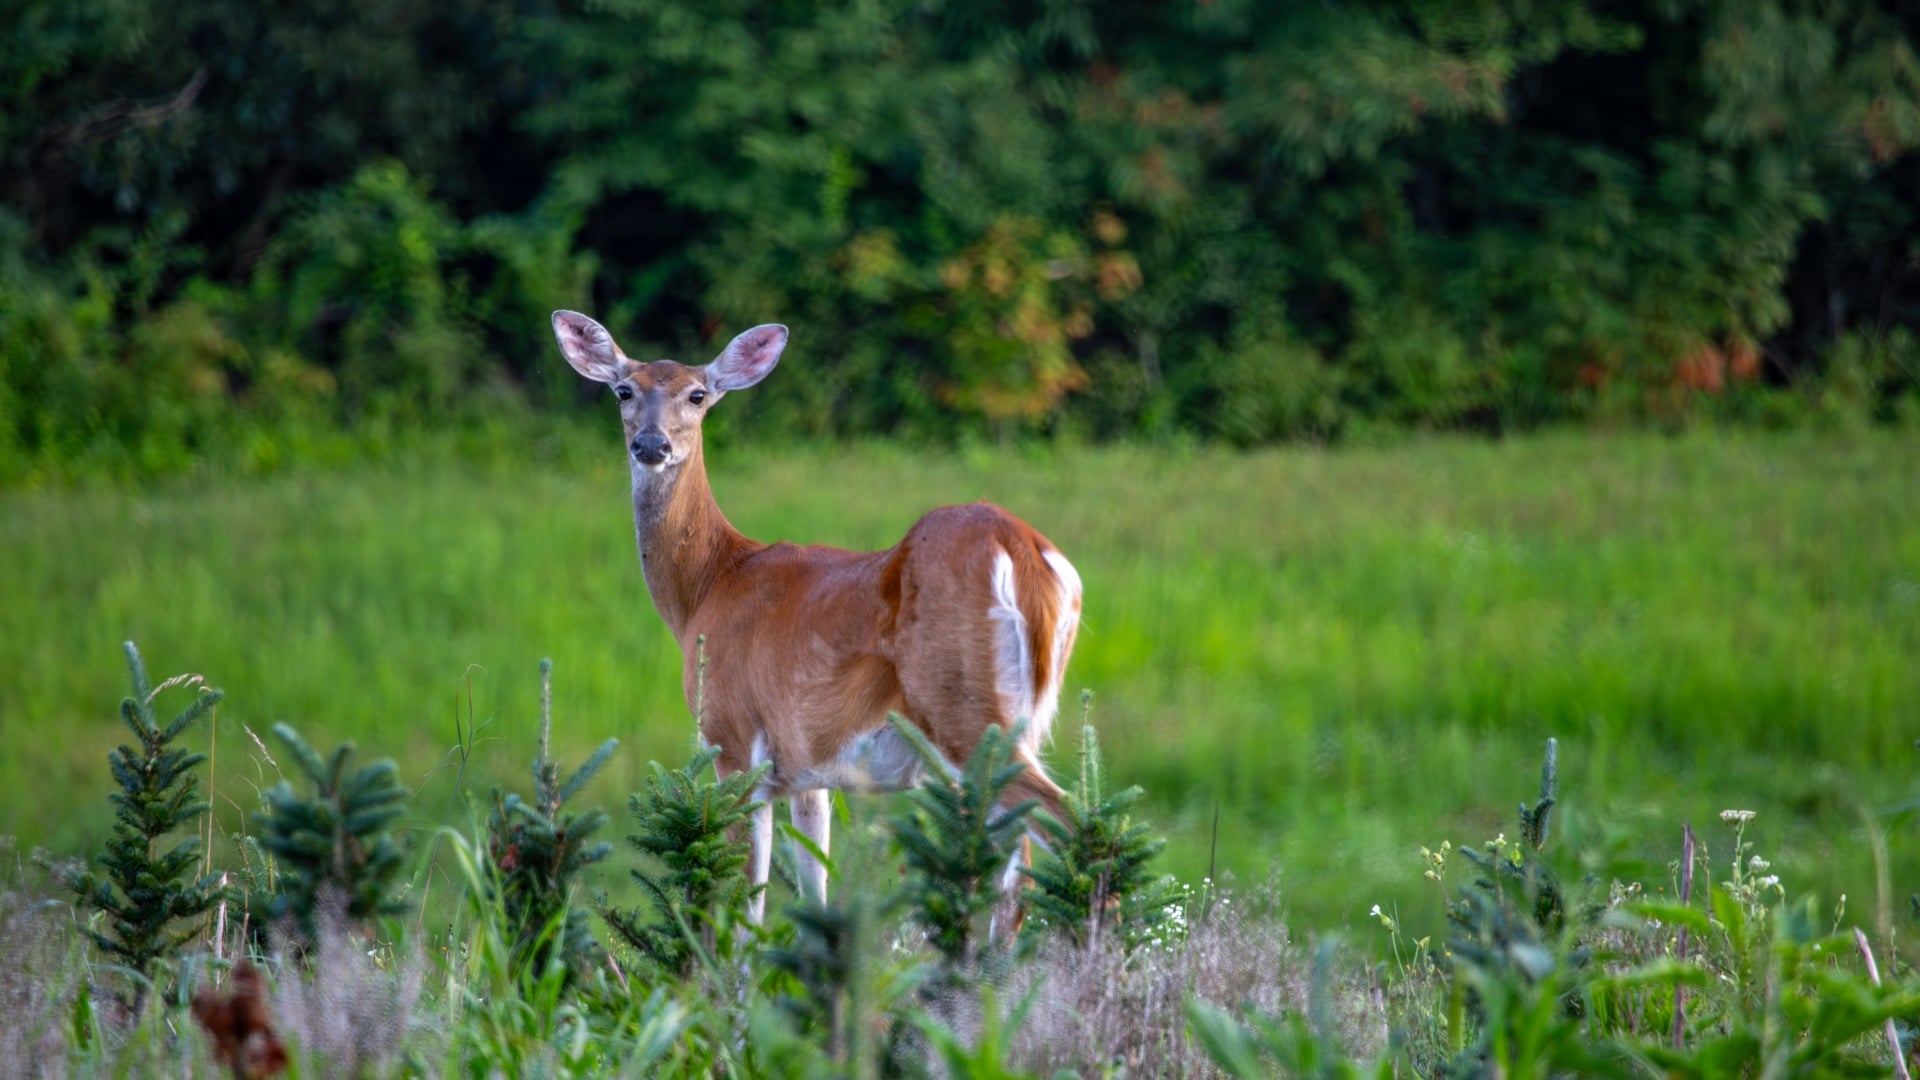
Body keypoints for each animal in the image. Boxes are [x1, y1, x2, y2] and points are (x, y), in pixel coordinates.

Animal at [551, 311, 1082, 924]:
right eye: (624, 391)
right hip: (1024, 717)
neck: (709, 585)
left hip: (965, 707)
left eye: (697, 394)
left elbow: (747, 905)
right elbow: (814, 892)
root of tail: (1023, 549)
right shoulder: (809, 768)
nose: (651, 444)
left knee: (1064, 828)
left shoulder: (734, 740)